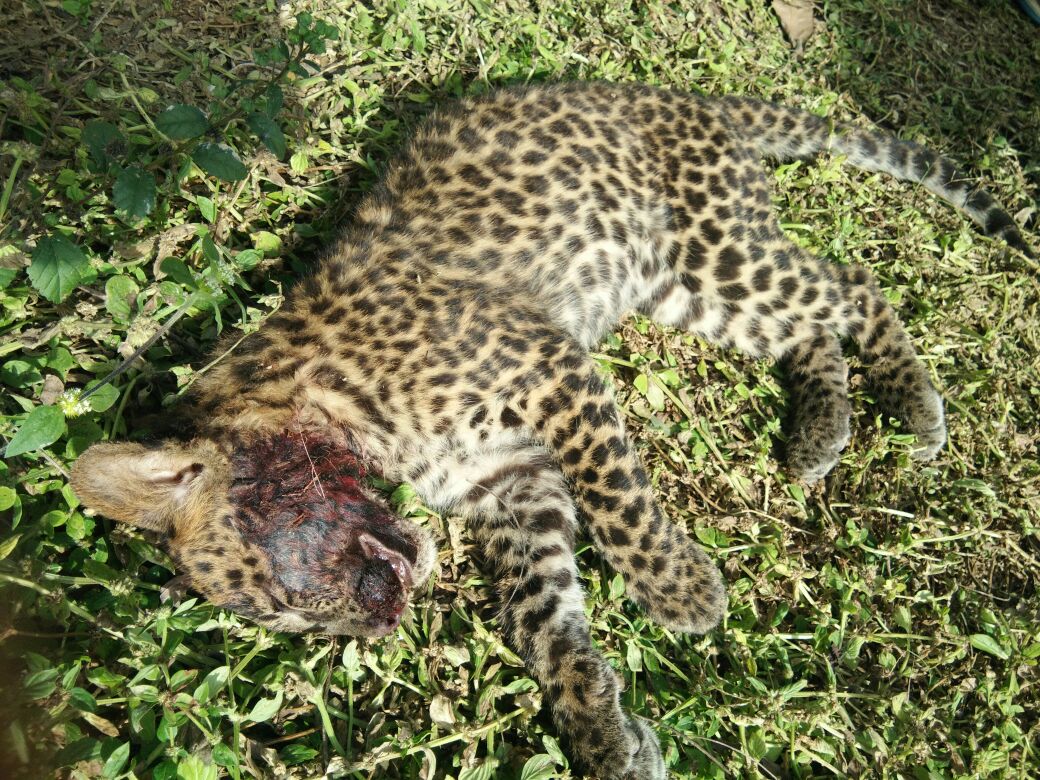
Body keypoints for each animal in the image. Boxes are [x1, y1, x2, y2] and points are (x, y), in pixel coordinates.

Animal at [70, 82, 1033, 779]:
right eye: (289, 626)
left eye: (282, 600)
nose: (382, 624)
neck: (325, 401)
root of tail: (675, 97)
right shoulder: (514, 485)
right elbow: (545, 619)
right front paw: (605, 735)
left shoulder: (548, 367)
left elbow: (618, 503)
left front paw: (683, 592)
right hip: (684, 286)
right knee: (811, 327)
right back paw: (821, 431)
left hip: (714, 245)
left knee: (852, 284)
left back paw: (915, 407)